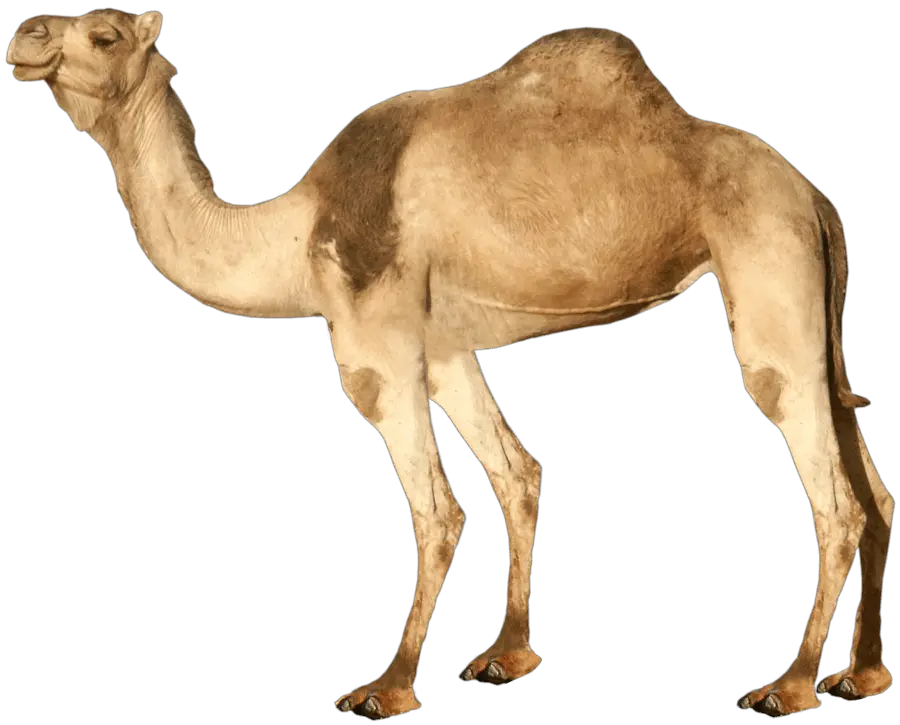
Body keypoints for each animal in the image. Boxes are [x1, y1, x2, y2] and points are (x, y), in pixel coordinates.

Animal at [7, 9, 893, 719]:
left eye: (105, 34)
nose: (25, 36)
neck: (295, 235)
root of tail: (816, 201)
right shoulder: (443, 345)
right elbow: (517, 472)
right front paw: (508, 654)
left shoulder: (376, 342)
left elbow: (437, 510)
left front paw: (389, 685)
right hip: (809, 299)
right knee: (873, 486)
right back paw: (865, 673)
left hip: (768, 266)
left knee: (833, 495)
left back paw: (792, 684)